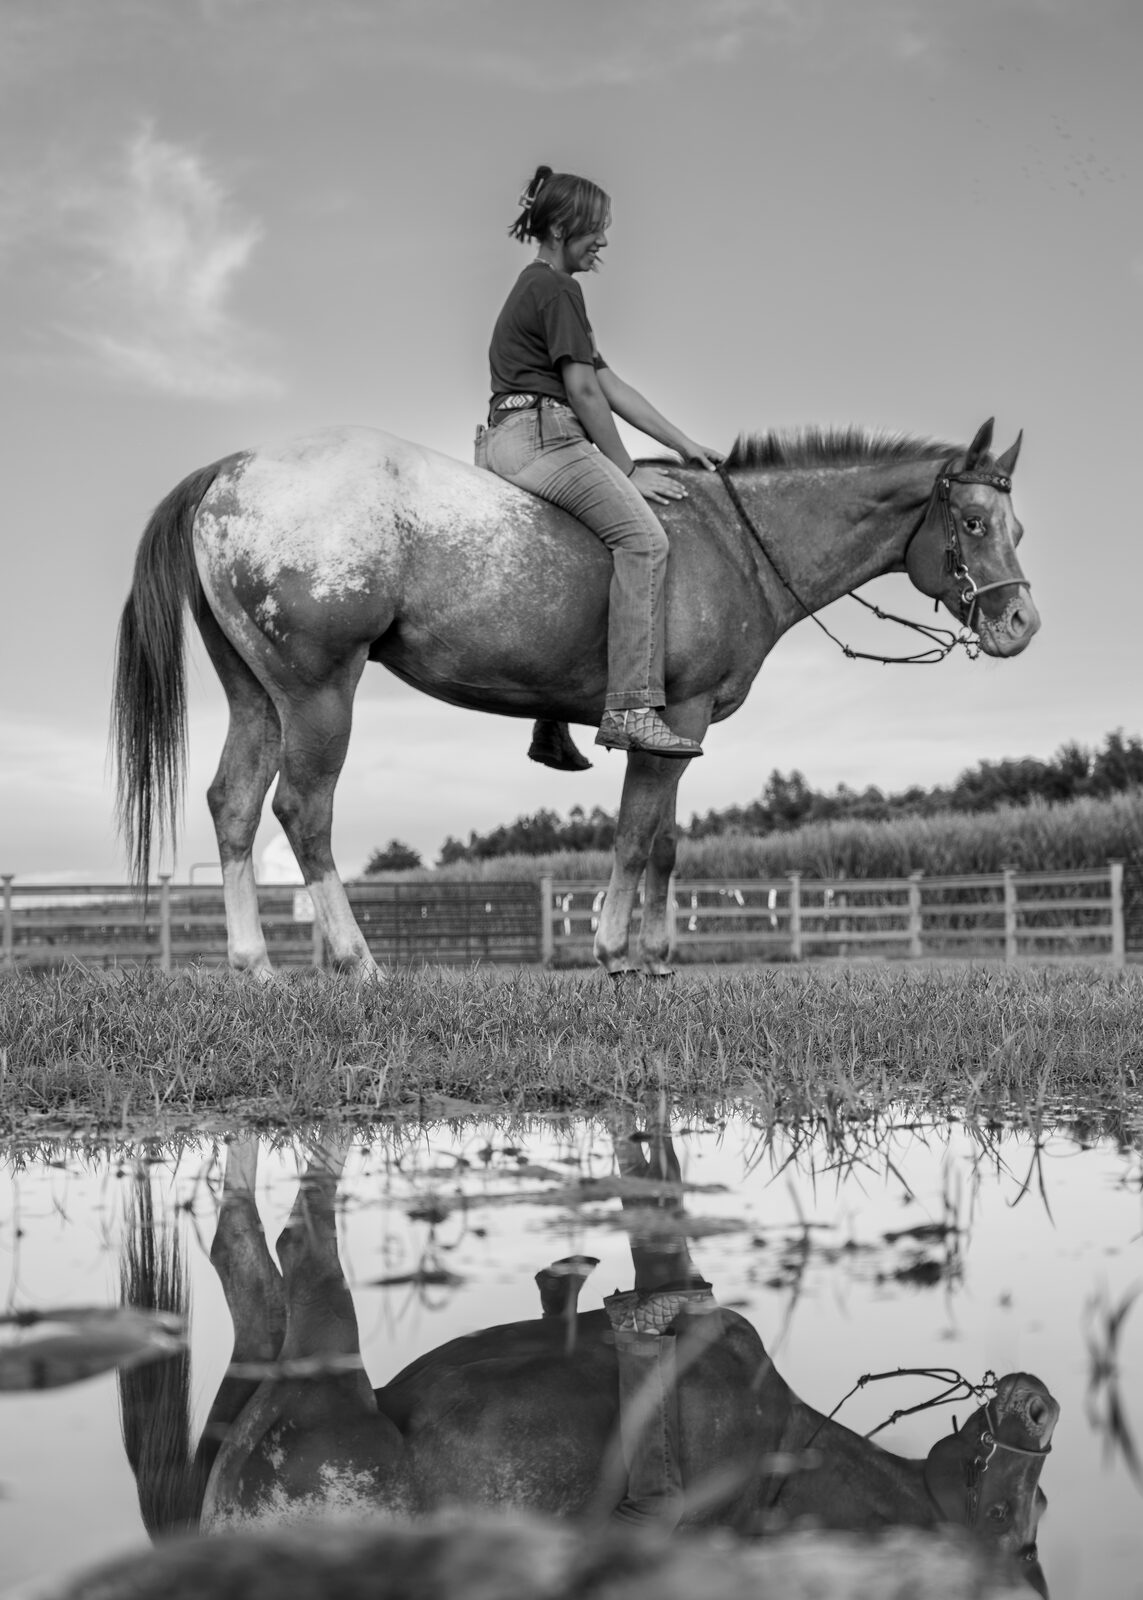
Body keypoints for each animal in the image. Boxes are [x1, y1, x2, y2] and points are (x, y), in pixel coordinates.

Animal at [111, 417, 1037, 977]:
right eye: (972, 526)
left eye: (1014, 527)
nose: (1020, 623)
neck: (731, 542)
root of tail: (233, 471)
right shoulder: (675, 716)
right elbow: (632, 835)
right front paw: (614, 951)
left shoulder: (677, 731)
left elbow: (665, 843)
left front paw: (657, 956)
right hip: (318, 692)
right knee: (303, 812)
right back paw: (355, 961)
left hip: (258, 697)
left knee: (233, 805)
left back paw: (255, 967)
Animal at [117, 1126, 1056, 1594]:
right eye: (1030, 1513)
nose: (1038, 1400)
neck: (784, 1462)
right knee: (272, 1243)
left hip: (310, 1372)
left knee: (270, 1252)